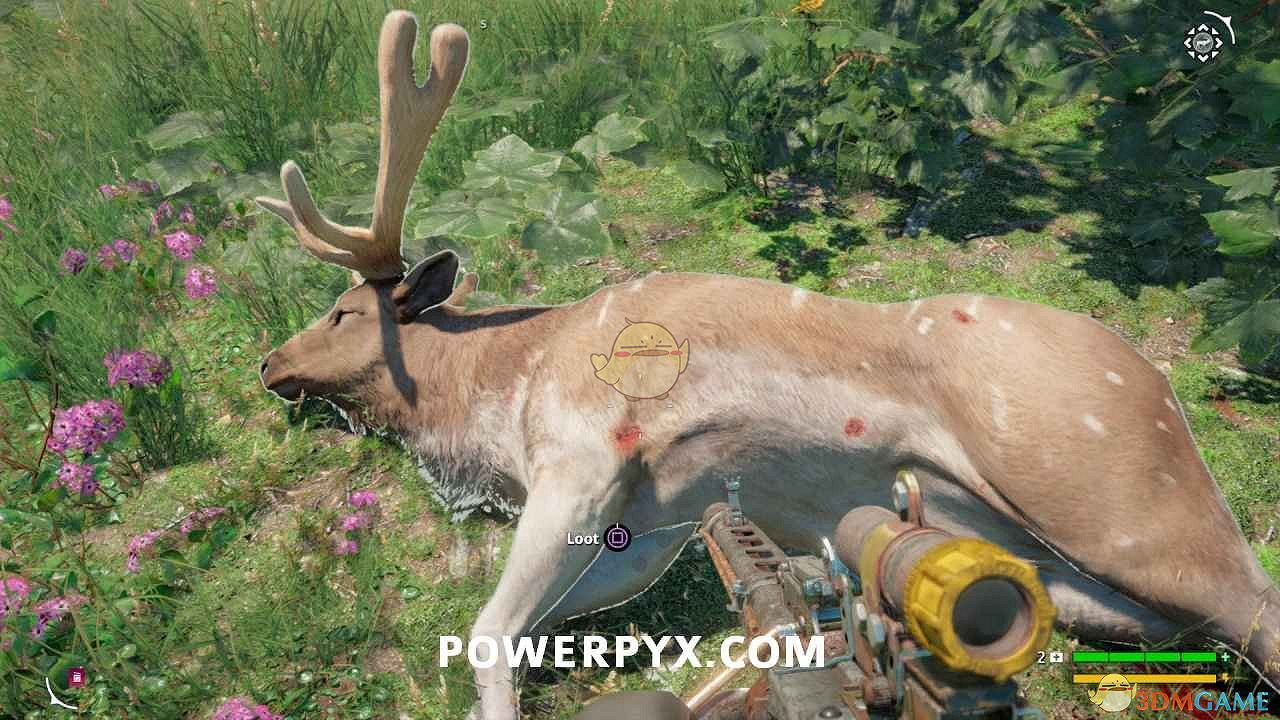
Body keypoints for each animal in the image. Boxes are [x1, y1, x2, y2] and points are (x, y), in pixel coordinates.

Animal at [255, 10, 1280, 719]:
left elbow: (487, 635)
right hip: (1077, 578)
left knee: (1255, 601)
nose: (269, 364)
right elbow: (546, 624)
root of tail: (1162, 387)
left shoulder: (583, 457)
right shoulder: (653, 528)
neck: (498, 397)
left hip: (1124, 502)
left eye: (342, 310)